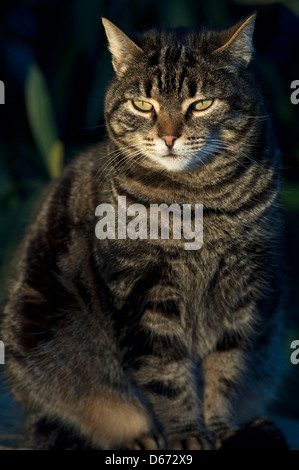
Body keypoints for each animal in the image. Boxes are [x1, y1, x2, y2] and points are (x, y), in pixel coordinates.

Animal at [1, 13, 286, 448]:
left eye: (201, 104)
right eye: (142, 104)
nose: (168, 137)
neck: (199, 204)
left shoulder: (243, 290)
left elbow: (226, 370)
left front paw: (222, 429)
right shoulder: (142, 291)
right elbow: (166, 375)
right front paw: (186, 434)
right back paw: (138, 437)